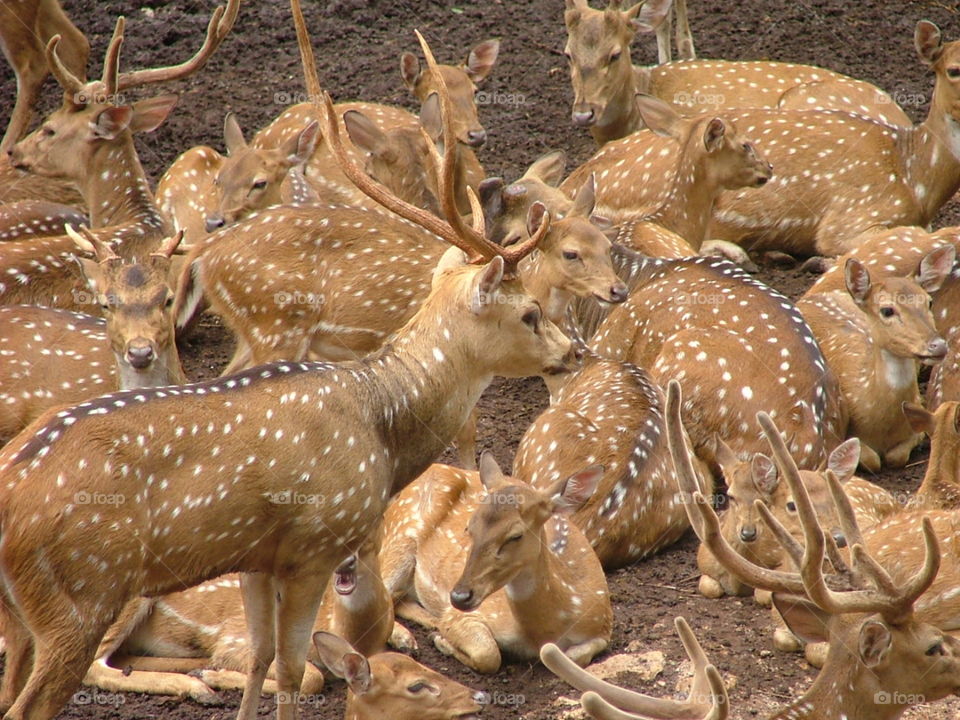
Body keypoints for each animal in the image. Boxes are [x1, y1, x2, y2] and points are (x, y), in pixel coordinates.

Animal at [378, 454, 612, 673]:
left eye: (516, 535)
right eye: (469, 527)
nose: (459, 596)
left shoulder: (604, 623)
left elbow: (575, 657)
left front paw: (439, 636)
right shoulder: (473, 613)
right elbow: (489, 655)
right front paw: (441, 640)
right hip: (400, 536)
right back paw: (406, 639)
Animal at [797, 247, 953, 472]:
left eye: (929, 302)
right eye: (887, 310)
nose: (938, 345)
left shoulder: (918, 421)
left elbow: (897, 456)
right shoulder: (845, 434)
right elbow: (873, 460)